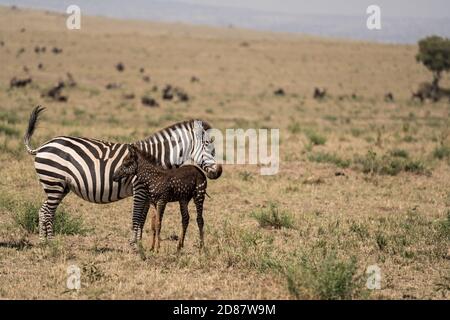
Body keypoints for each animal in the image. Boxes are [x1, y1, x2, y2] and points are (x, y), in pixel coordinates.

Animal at [24, 106, 221, 244]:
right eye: (206, 144)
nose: (218, 172)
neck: (155, 158)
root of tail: (43, 146)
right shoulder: (139, 190)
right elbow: (136, 217)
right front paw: (134, 245)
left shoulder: (148, 193)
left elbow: (143, 219)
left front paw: (140, 244)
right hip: (54, 183)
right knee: (47, 212)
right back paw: (49, 243)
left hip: (60, 186)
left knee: (44, 211)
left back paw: (45, 242)